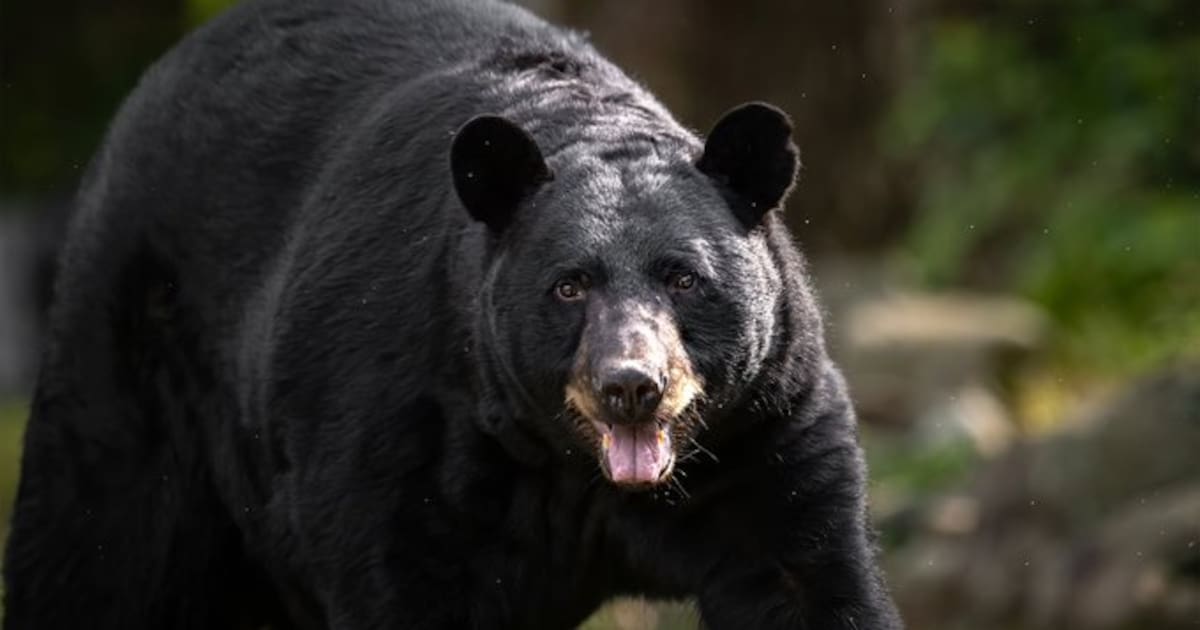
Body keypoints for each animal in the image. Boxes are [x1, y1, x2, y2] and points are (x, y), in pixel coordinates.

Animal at [3, 0, 904, 628]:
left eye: (684, 278)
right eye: (568, 286)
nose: (630, 387)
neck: (572, 463)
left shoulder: (762, 428)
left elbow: (804, 573)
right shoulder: (409, 433)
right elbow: (399, 566)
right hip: (130, 367)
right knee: (96, 550)